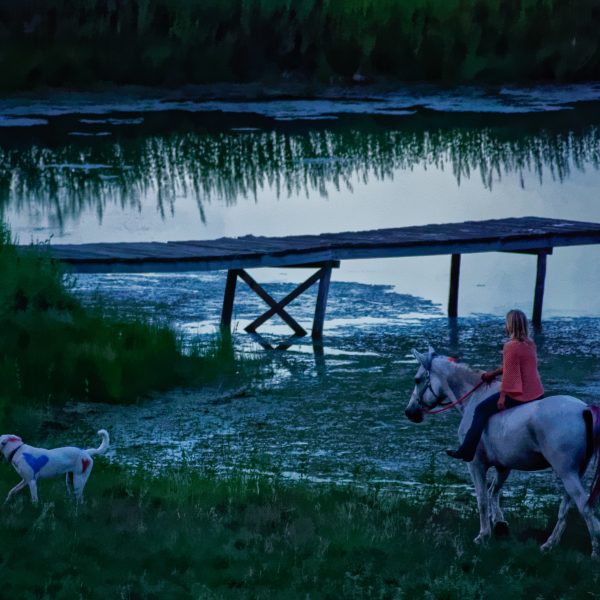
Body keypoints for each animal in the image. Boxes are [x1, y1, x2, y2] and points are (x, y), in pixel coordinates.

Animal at [406, 346, 600, 556]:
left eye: (417, 379)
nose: (410, 412)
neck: (474, 399)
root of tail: (584, 409)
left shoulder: (475, 464)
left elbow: (482, 499)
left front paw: (483, 535)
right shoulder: (503, 466)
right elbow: (494, 492)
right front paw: (499, 524)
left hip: (567, 473)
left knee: (585, 508)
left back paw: (594, 552)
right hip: (574, 472)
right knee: (566, 508)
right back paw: (549, 544)